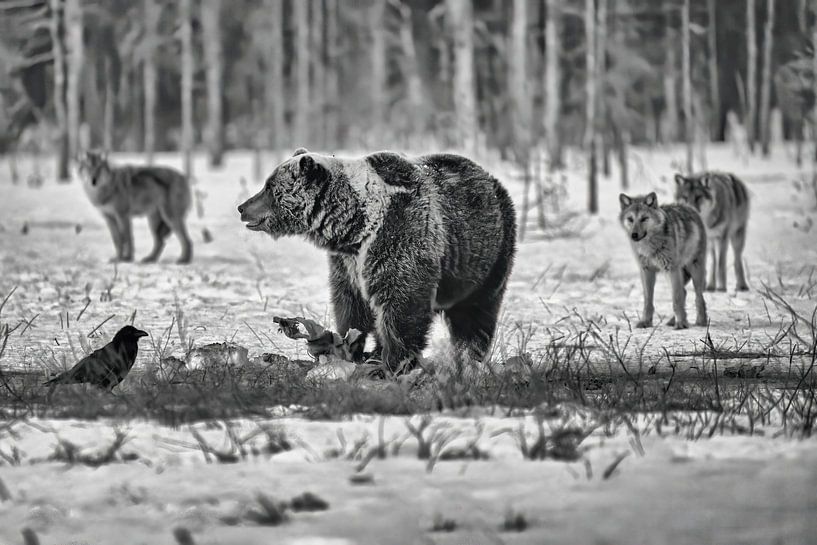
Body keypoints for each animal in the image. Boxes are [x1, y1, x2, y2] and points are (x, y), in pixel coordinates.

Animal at [238, 148, 516, 374]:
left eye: (269, 187)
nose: (242, 207)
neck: (356, 226)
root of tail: (491, 179)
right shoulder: (347, 263)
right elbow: (351, 305)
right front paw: (350, 348)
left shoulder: (399, 238)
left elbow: (402, 304)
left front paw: (392, 363)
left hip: (488, 258)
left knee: (476, 314)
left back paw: (470, 356)